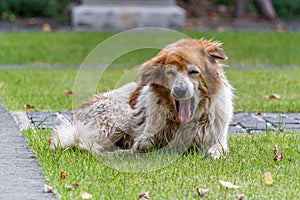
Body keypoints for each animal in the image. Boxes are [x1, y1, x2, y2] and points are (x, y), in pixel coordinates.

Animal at [49, 38, 233, 159]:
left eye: (194, 71)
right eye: (170, 72)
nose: (180, 91)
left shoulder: (217, 138)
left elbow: (217, 149)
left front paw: (212, 154)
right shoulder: (146, 134)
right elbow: (144, 144)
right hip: (119, 116)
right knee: (84, 143)